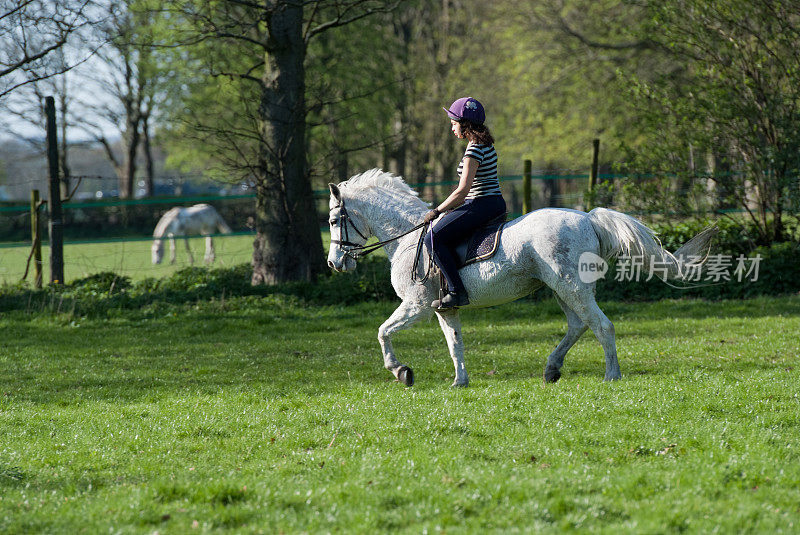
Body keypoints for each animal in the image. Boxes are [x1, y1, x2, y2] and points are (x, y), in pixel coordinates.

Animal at [328, 170, 716, 388]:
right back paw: (552, 369)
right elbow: (455, 344)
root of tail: (588, 218)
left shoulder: (416, 305)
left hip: (571, 286)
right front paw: (459, 382)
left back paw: (611, 376)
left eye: (333, 220)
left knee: (601, 325)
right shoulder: (443, 308)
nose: (334, 264)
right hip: (560, 288)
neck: (409, 239)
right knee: (579, 324)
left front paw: (401, 372)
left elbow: (383, 332)